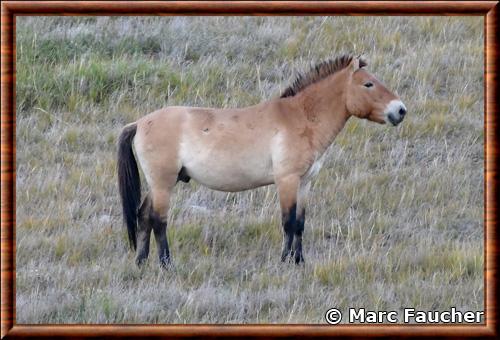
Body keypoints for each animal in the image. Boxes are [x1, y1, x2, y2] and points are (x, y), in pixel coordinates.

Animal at [117, 54, 406, 266]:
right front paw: (284, 261)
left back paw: (141, 262)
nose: (400, 110)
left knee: (143, 216)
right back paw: (166, 264)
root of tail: (139, 123)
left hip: (158, 185)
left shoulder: (305, 183)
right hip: (163, 184)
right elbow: (288, 222)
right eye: (368, 84)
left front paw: (299, 261)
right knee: (158, 221)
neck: (301, 118)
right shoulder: (287, 180)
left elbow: (300, 224)